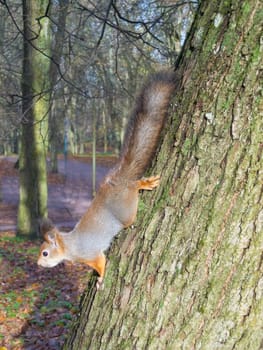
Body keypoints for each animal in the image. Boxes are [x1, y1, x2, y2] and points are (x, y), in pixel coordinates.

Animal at [37, 71, 177, 288]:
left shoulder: (90, 253)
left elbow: (101, 263)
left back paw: (142, 184)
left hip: (125, 210)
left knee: (133, 192)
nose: (37, 263)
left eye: (45, 253)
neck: (70, 246)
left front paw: (101, 279)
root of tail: (118, 182)